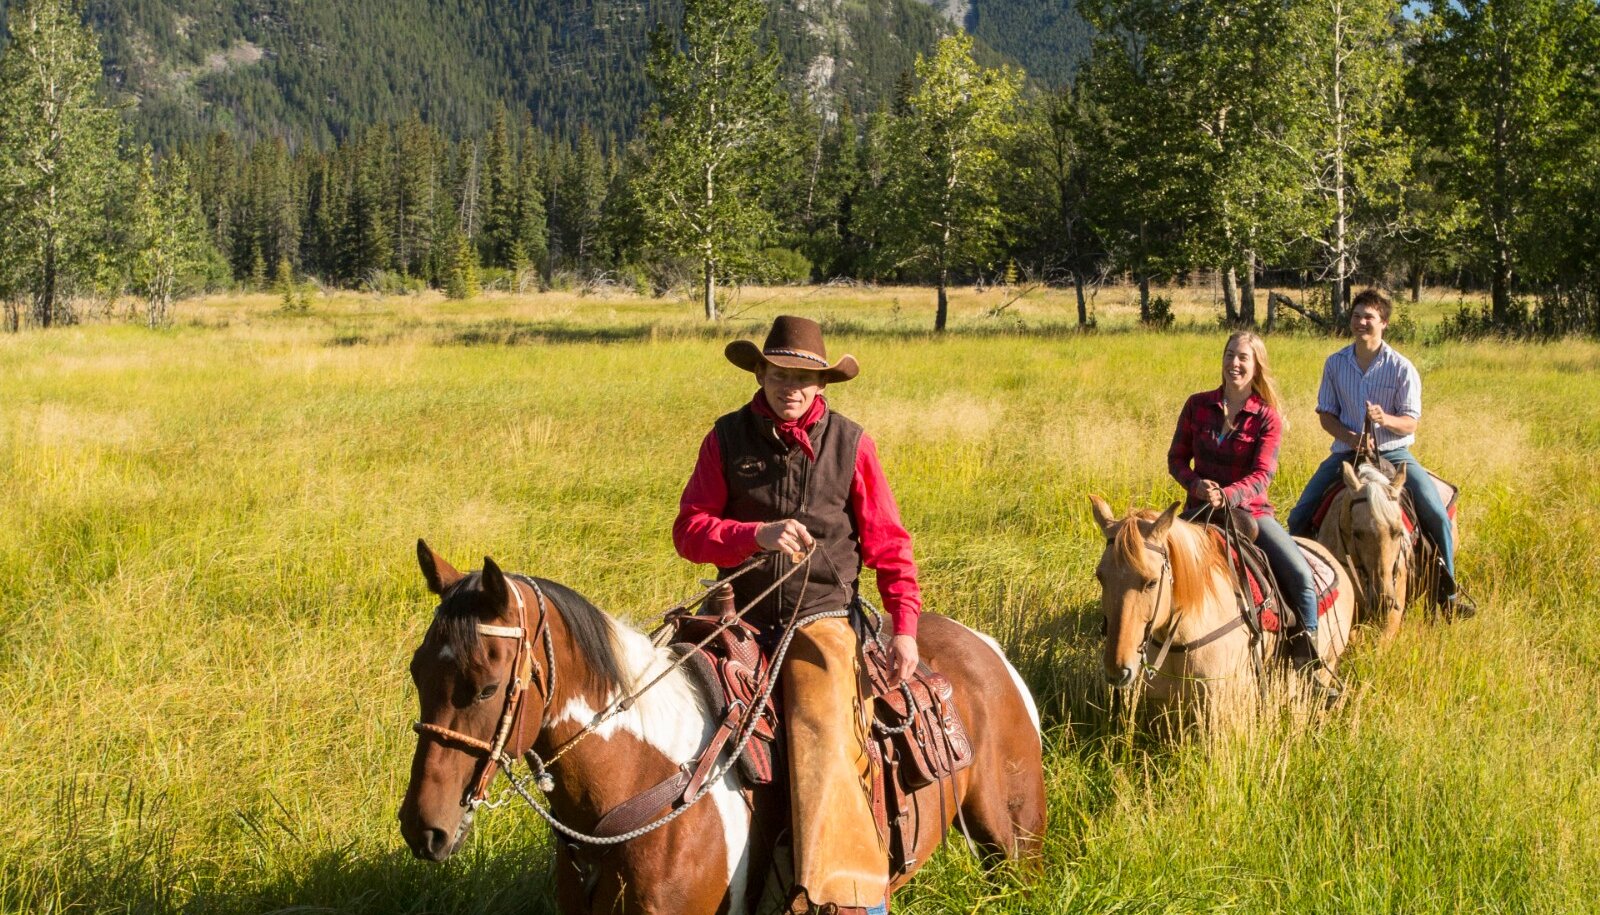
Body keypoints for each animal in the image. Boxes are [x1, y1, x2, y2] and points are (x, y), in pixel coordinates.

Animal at [400, 540, 1049, 908]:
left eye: (486, 686)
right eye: (416, 672)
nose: (423, 829)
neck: (640, 780)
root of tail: (986, 648)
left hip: (1016, 846)